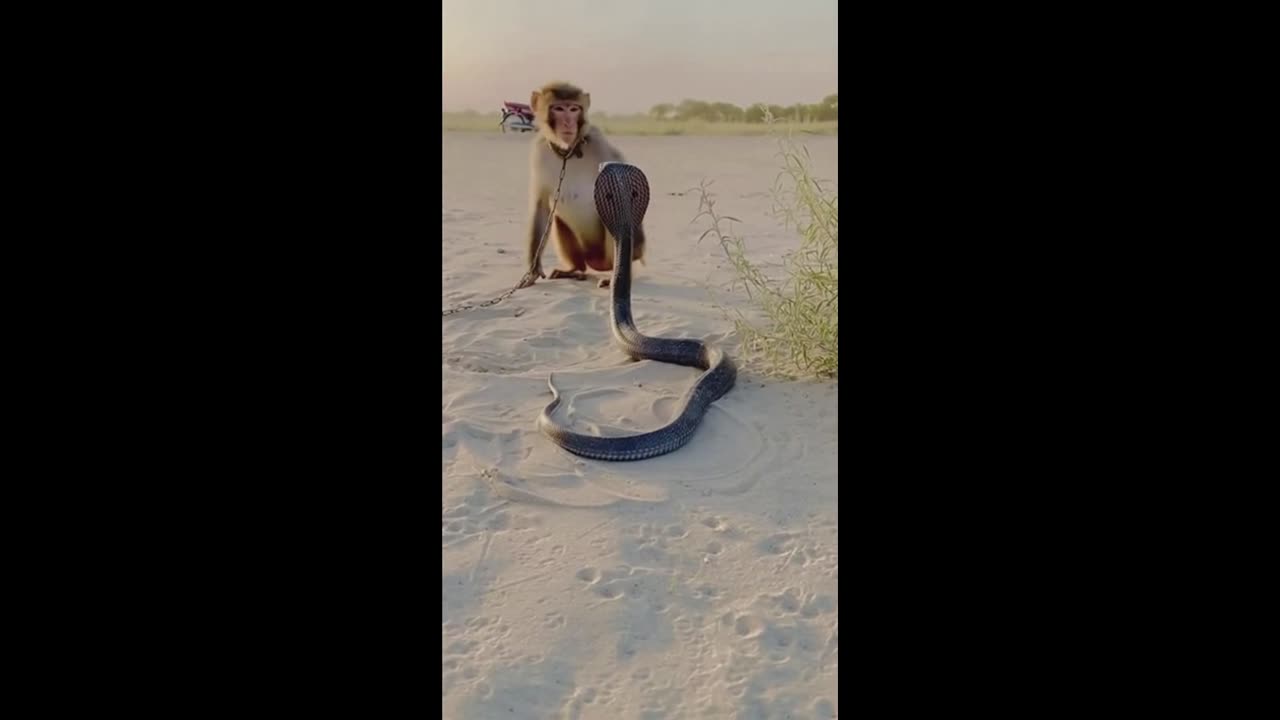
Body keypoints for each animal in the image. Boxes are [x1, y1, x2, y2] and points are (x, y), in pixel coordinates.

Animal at [518, 81, 646, 290]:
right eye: (559, 109)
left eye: (573, 109)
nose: (568, 123)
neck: (568, 151)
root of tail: (596, 262)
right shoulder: (539, 150)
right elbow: (542, 207)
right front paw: (533, 270)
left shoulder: (600, 143)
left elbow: (623, 192)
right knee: (558, 220)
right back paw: (573, 270)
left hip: (608, 256)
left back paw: (615, 275)